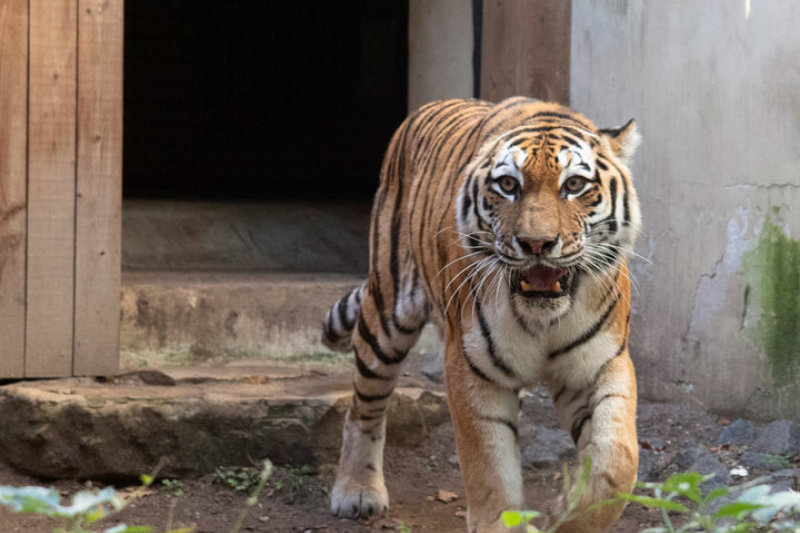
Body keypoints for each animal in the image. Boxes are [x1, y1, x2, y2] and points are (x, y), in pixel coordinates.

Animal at [322, 96, 640, 532]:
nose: (536, 243)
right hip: (386, 313)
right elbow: (489, 467)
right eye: (508, 185)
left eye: (574, 185)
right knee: (364, 407)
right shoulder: (472, 368)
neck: (543, 319)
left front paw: (562, 512)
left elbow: (616, 464)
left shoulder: (601, 363)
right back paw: (356, 491)